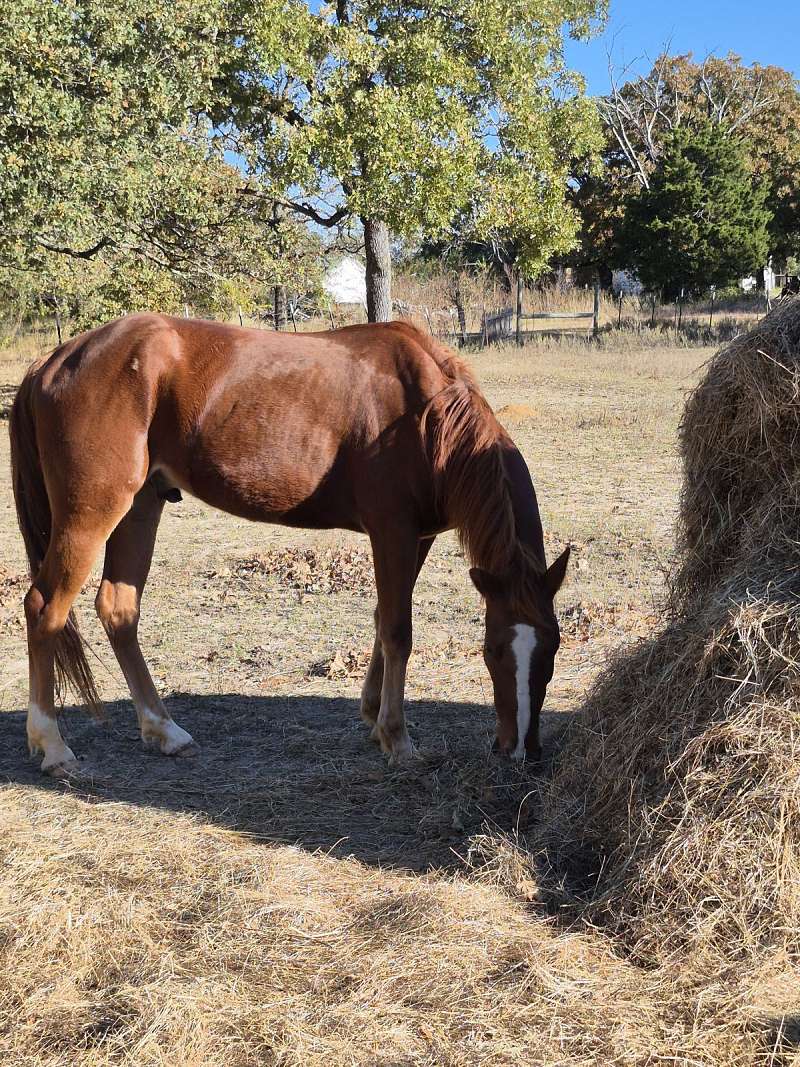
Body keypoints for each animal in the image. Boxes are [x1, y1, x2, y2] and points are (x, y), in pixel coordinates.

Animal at [10, 315, 569, 776]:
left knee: (119, 609)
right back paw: (53, 745)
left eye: (553, 647)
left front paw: (372, 716)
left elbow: (382, 621)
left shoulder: (419, 537)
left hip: (141, 505)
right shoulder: (391, 531)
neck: (425, 415)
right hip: (92, 513)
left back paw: (164, 731)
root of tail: (54, 360)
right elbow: (397, 631)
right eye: (491, 650)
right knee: (44, 608)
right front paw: (397, 739)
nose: (519, 750)